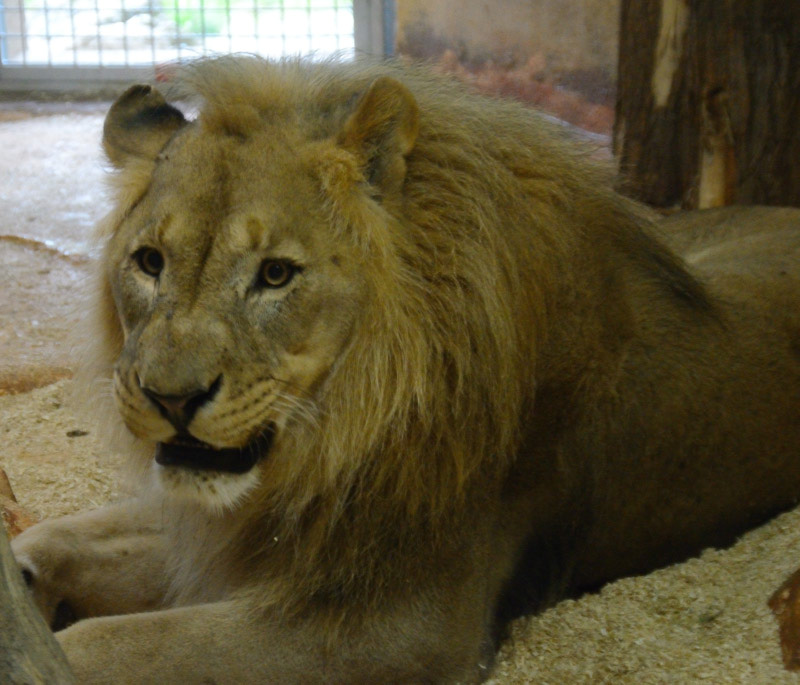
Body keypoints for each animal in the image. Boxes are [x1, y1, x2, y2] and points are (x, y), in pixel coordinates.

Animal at [9, 56, 800, 680]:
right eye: (149, 262)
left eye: (275, 274)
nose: (170, 398)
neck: (333, 437)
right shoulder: (239, 529)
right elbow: (66, 536)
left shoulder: (397, 625)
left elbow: (113, 646)